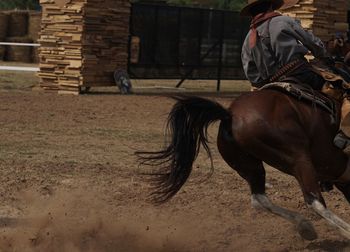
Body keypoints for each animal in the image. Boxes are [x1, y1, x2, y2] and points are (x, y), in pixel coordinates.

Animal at [137, 89, 350, 239]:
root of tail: (229, 115)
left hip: (251, 167)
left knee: (259, 199)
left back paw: (305, 226)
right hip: (298, 158)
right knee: (314, 201)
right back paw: (345, 232)